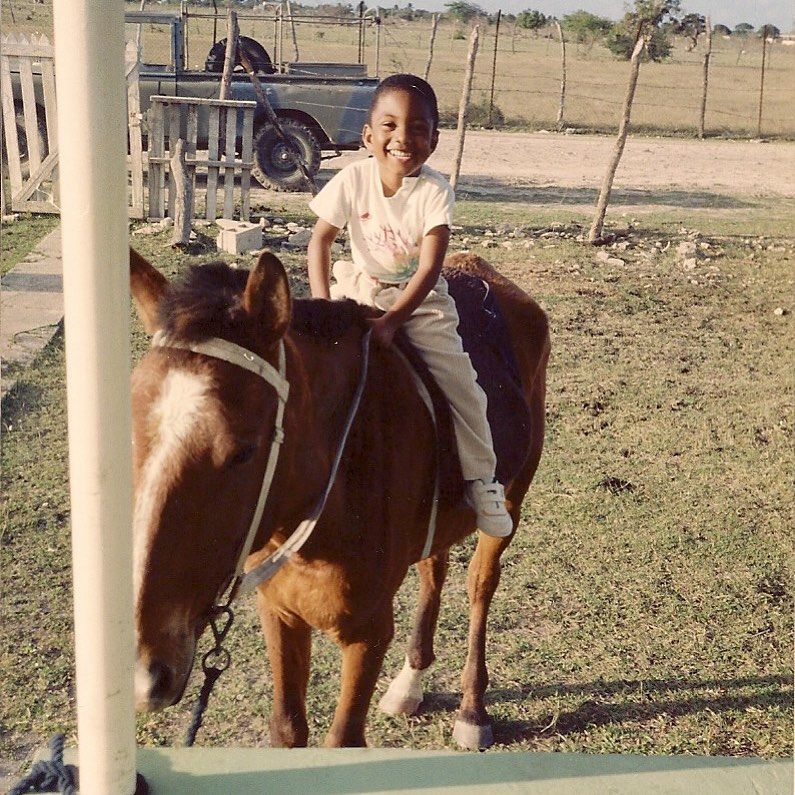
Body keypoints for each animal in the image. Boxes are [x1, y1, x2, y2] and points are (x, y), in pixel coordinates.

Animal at [131, 249, 552, 752]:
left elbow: (342, 739)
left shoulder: (368, 635)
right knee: (434, 567)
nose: (147, 673)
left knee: (480, 584)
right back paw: (409, 683)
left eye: (242, 451)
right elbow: (288, 729)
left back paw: (472, 708)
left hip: (511, 501)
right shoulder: (280, 614)